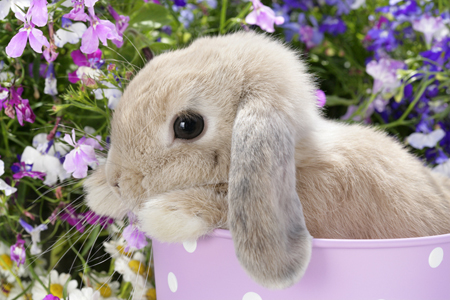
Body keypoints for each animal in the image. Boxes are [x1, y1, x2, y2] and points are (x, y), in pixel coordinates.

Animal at [82, 31, 450, 290]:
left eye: (188, 126)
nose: (117, 180)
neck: (298, 159)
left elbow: (227, 205)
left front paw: (170, 213)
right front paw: (99, 192)